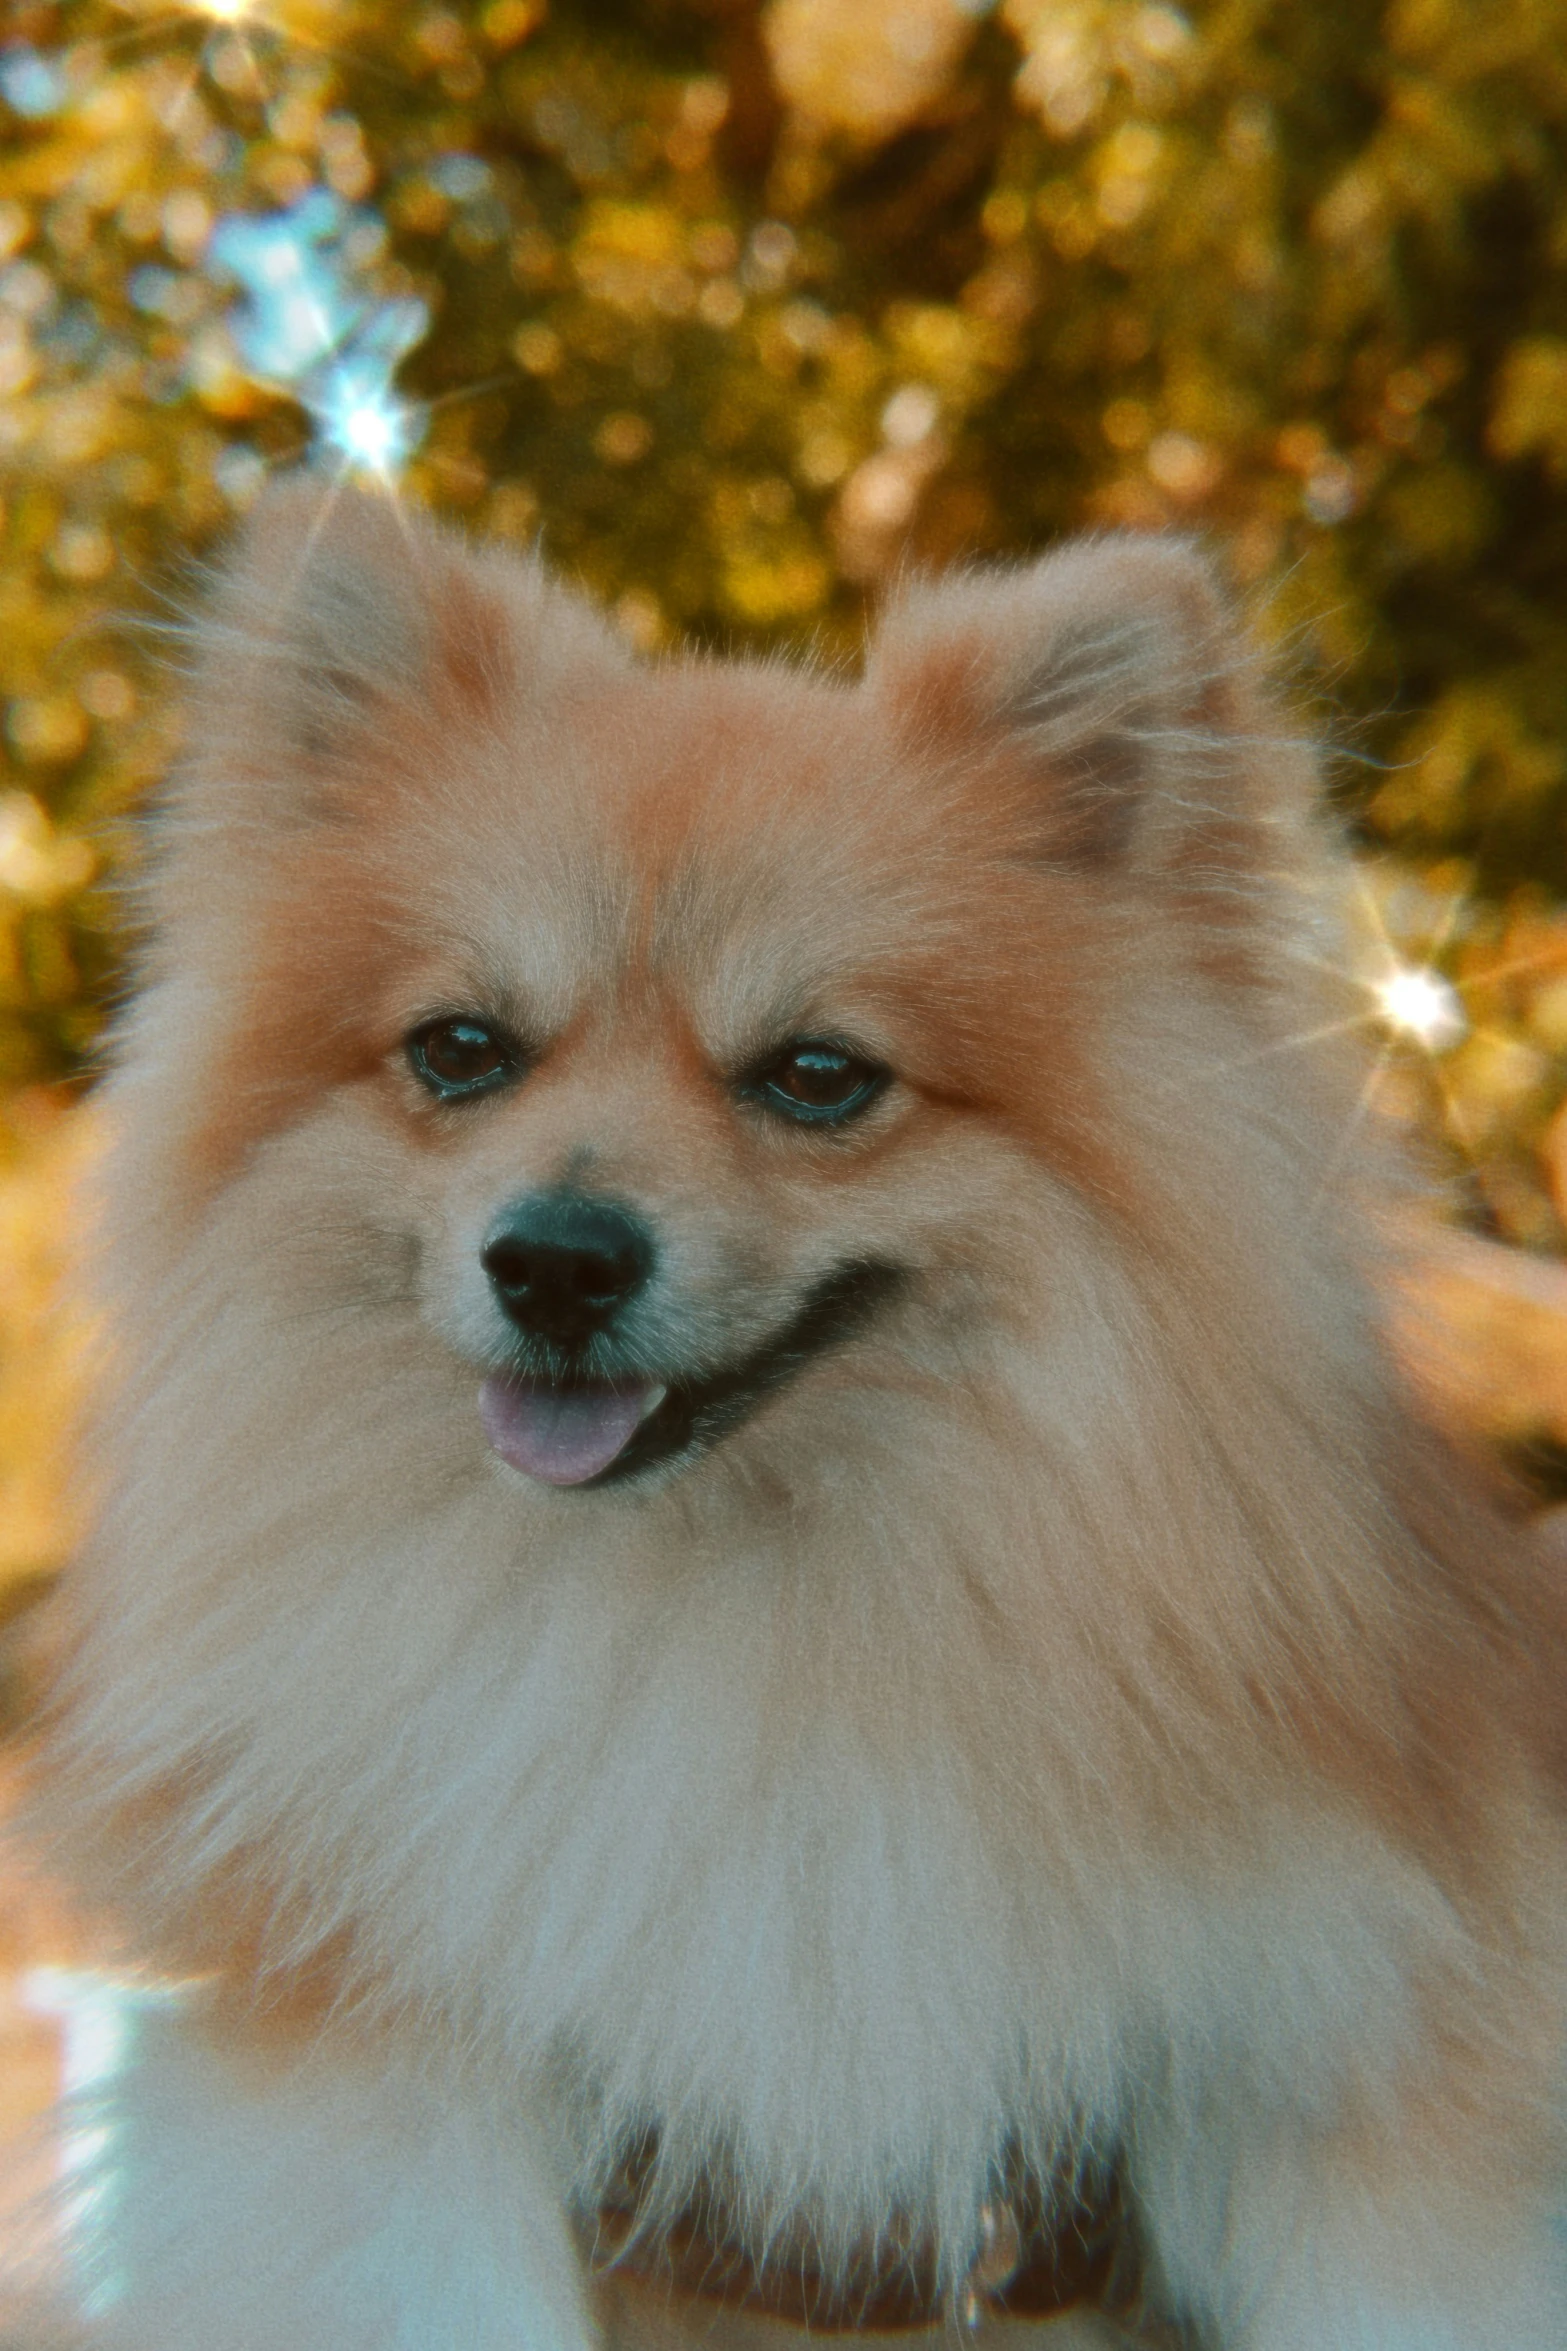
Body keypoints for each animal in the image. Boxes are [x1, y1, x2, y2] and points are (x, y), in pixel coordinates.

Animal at [21, 481, 1567, 2351]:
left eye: (817, 1077)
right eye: (461, 1050)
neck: (717, 1617)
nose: (553, 1258)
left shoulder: (1322, 2086)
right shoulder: (398, 2114)